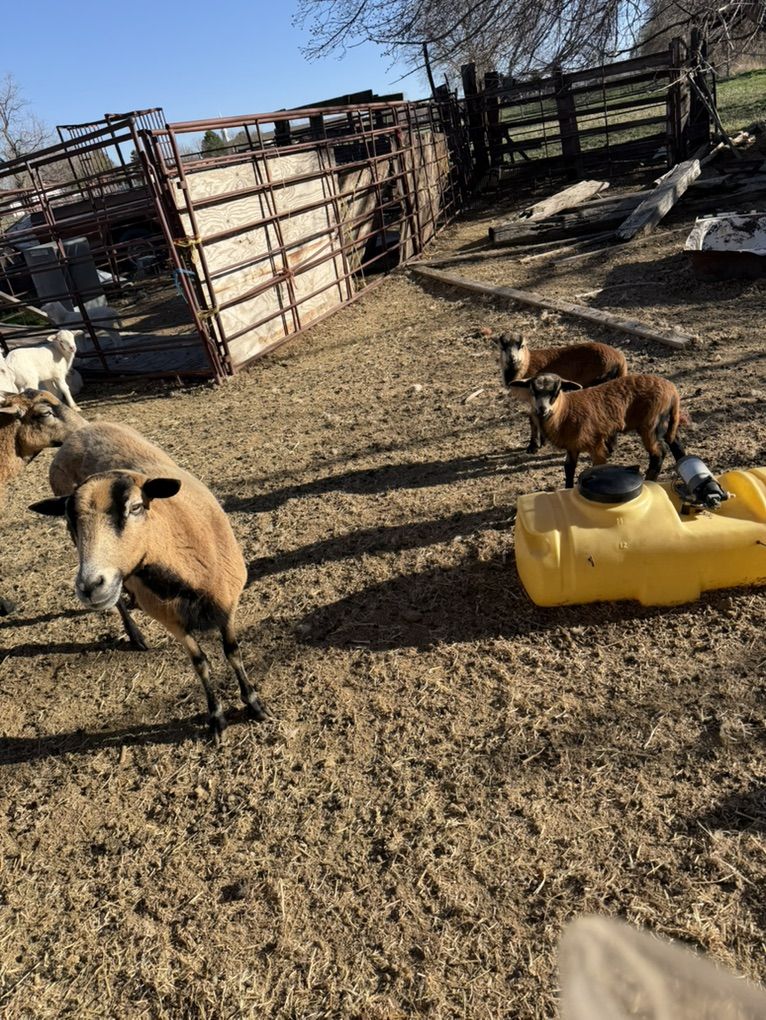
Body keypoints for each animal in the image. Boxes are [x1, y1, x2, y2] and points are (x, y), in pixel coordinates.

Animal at [30, 421, 267, 742]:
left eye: (136, 507)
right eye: (69, 520)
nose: (90, 587)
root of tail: (81, 428)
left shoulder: (227, 604)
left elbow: (233, 652)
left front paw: (254, 704)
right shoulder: (171, 621)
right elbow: (201, 664)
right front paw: (216, 717)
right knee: (118, 602)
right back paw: (135, 633)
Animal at [497, 332, 628, 453]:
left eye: (522, 345)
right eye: (502, 347)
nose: (512, 359)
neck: (527, 364)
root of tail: (620, 360)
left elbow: (533, 419)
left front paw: (533, 446)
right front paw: (541, 442)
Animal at [509, 372, 686, 489]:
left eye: (556, 391)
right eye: (532, 390)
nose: (541, 410)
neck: (565, 411)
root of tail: (672, 390)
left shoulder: (596, 445)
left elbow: (598, 467)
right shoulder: (572, 446)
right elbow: (569, 468)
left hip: (651, 424)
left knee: (658, 453)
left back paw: (650, 481)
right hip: (665, 423)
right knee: (675, 444)